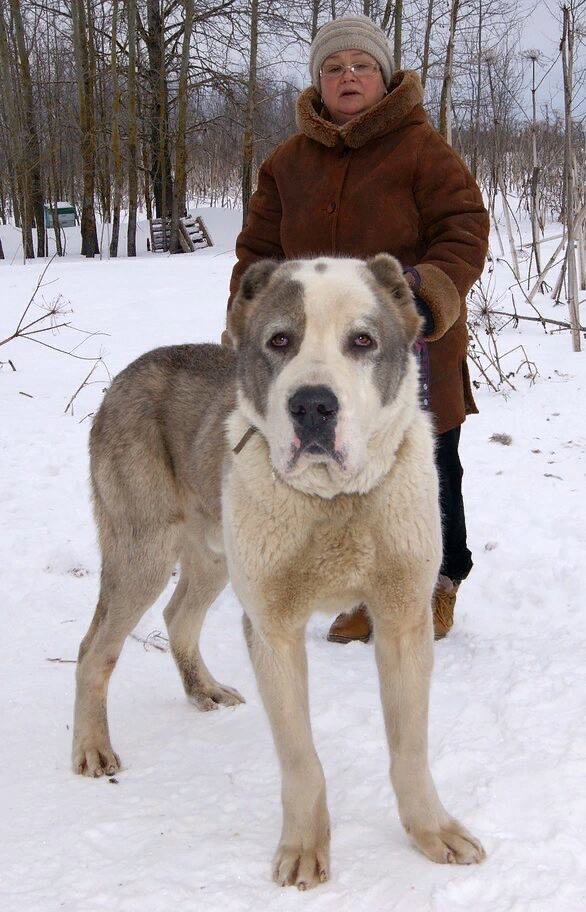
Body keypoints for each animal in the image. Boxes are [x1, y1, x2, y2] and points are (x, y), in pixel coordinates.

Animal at [72, 255, 484, 892]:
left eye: (362, 341)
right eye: (280, 341)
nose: (313, 405)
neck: (334, 503)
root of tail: (127, 373)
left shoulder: (402, 622)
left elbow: (409, 748)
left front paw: (430, 832)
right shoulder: (273, 627)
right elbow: (300, 758)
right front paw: (304, 849)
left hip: (215, 555)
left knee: (177, 614)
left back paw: (204, 690)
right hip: (143, 552)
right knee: (95, 649)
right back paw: (93, 748)